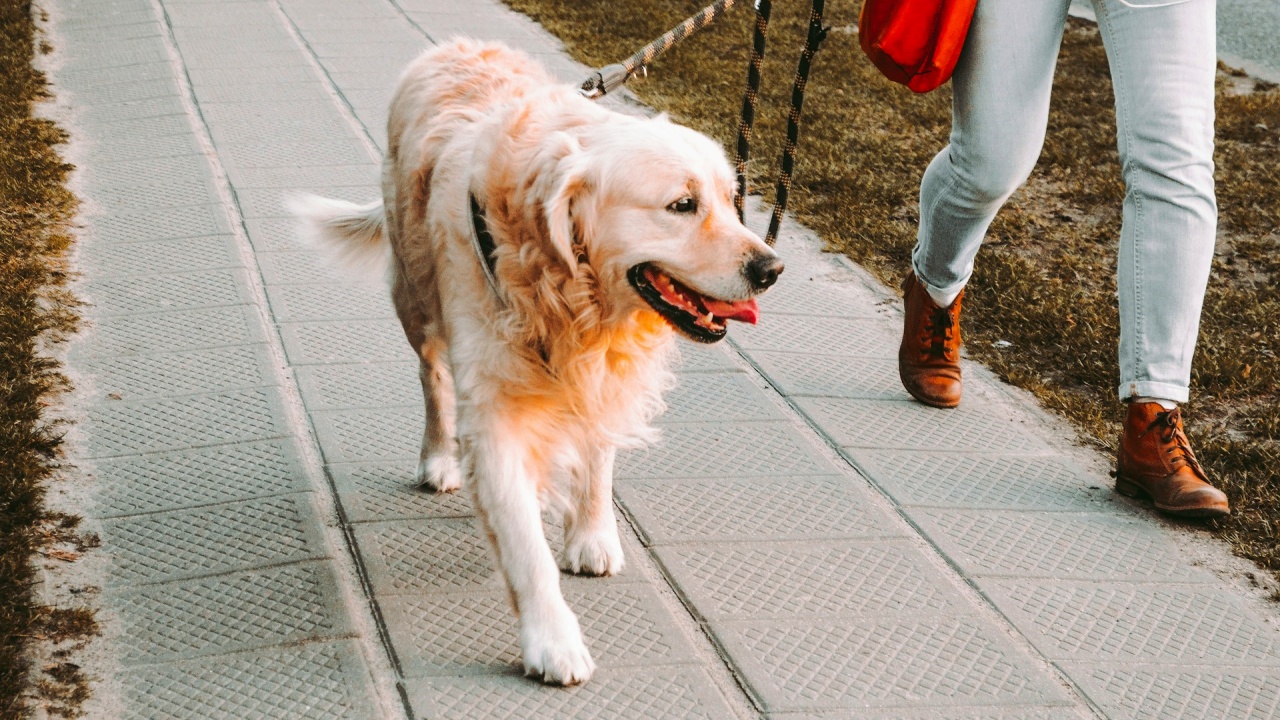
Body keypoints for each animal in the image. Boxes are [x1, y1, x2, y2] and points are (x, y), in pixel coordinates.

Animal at [294, 40, 783, 681]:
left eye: (731, 200)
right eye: (682, 205)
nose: (772, 269)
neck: (568, 292)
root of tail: (451, 44)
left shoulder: (602, 374)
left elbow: (597, 455)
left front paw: (592, 534)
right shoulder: (495, 414)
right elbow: (526, 547)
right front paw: (552, 640)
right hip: (415, 295)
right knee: (432, 376)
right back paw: (438, 457)